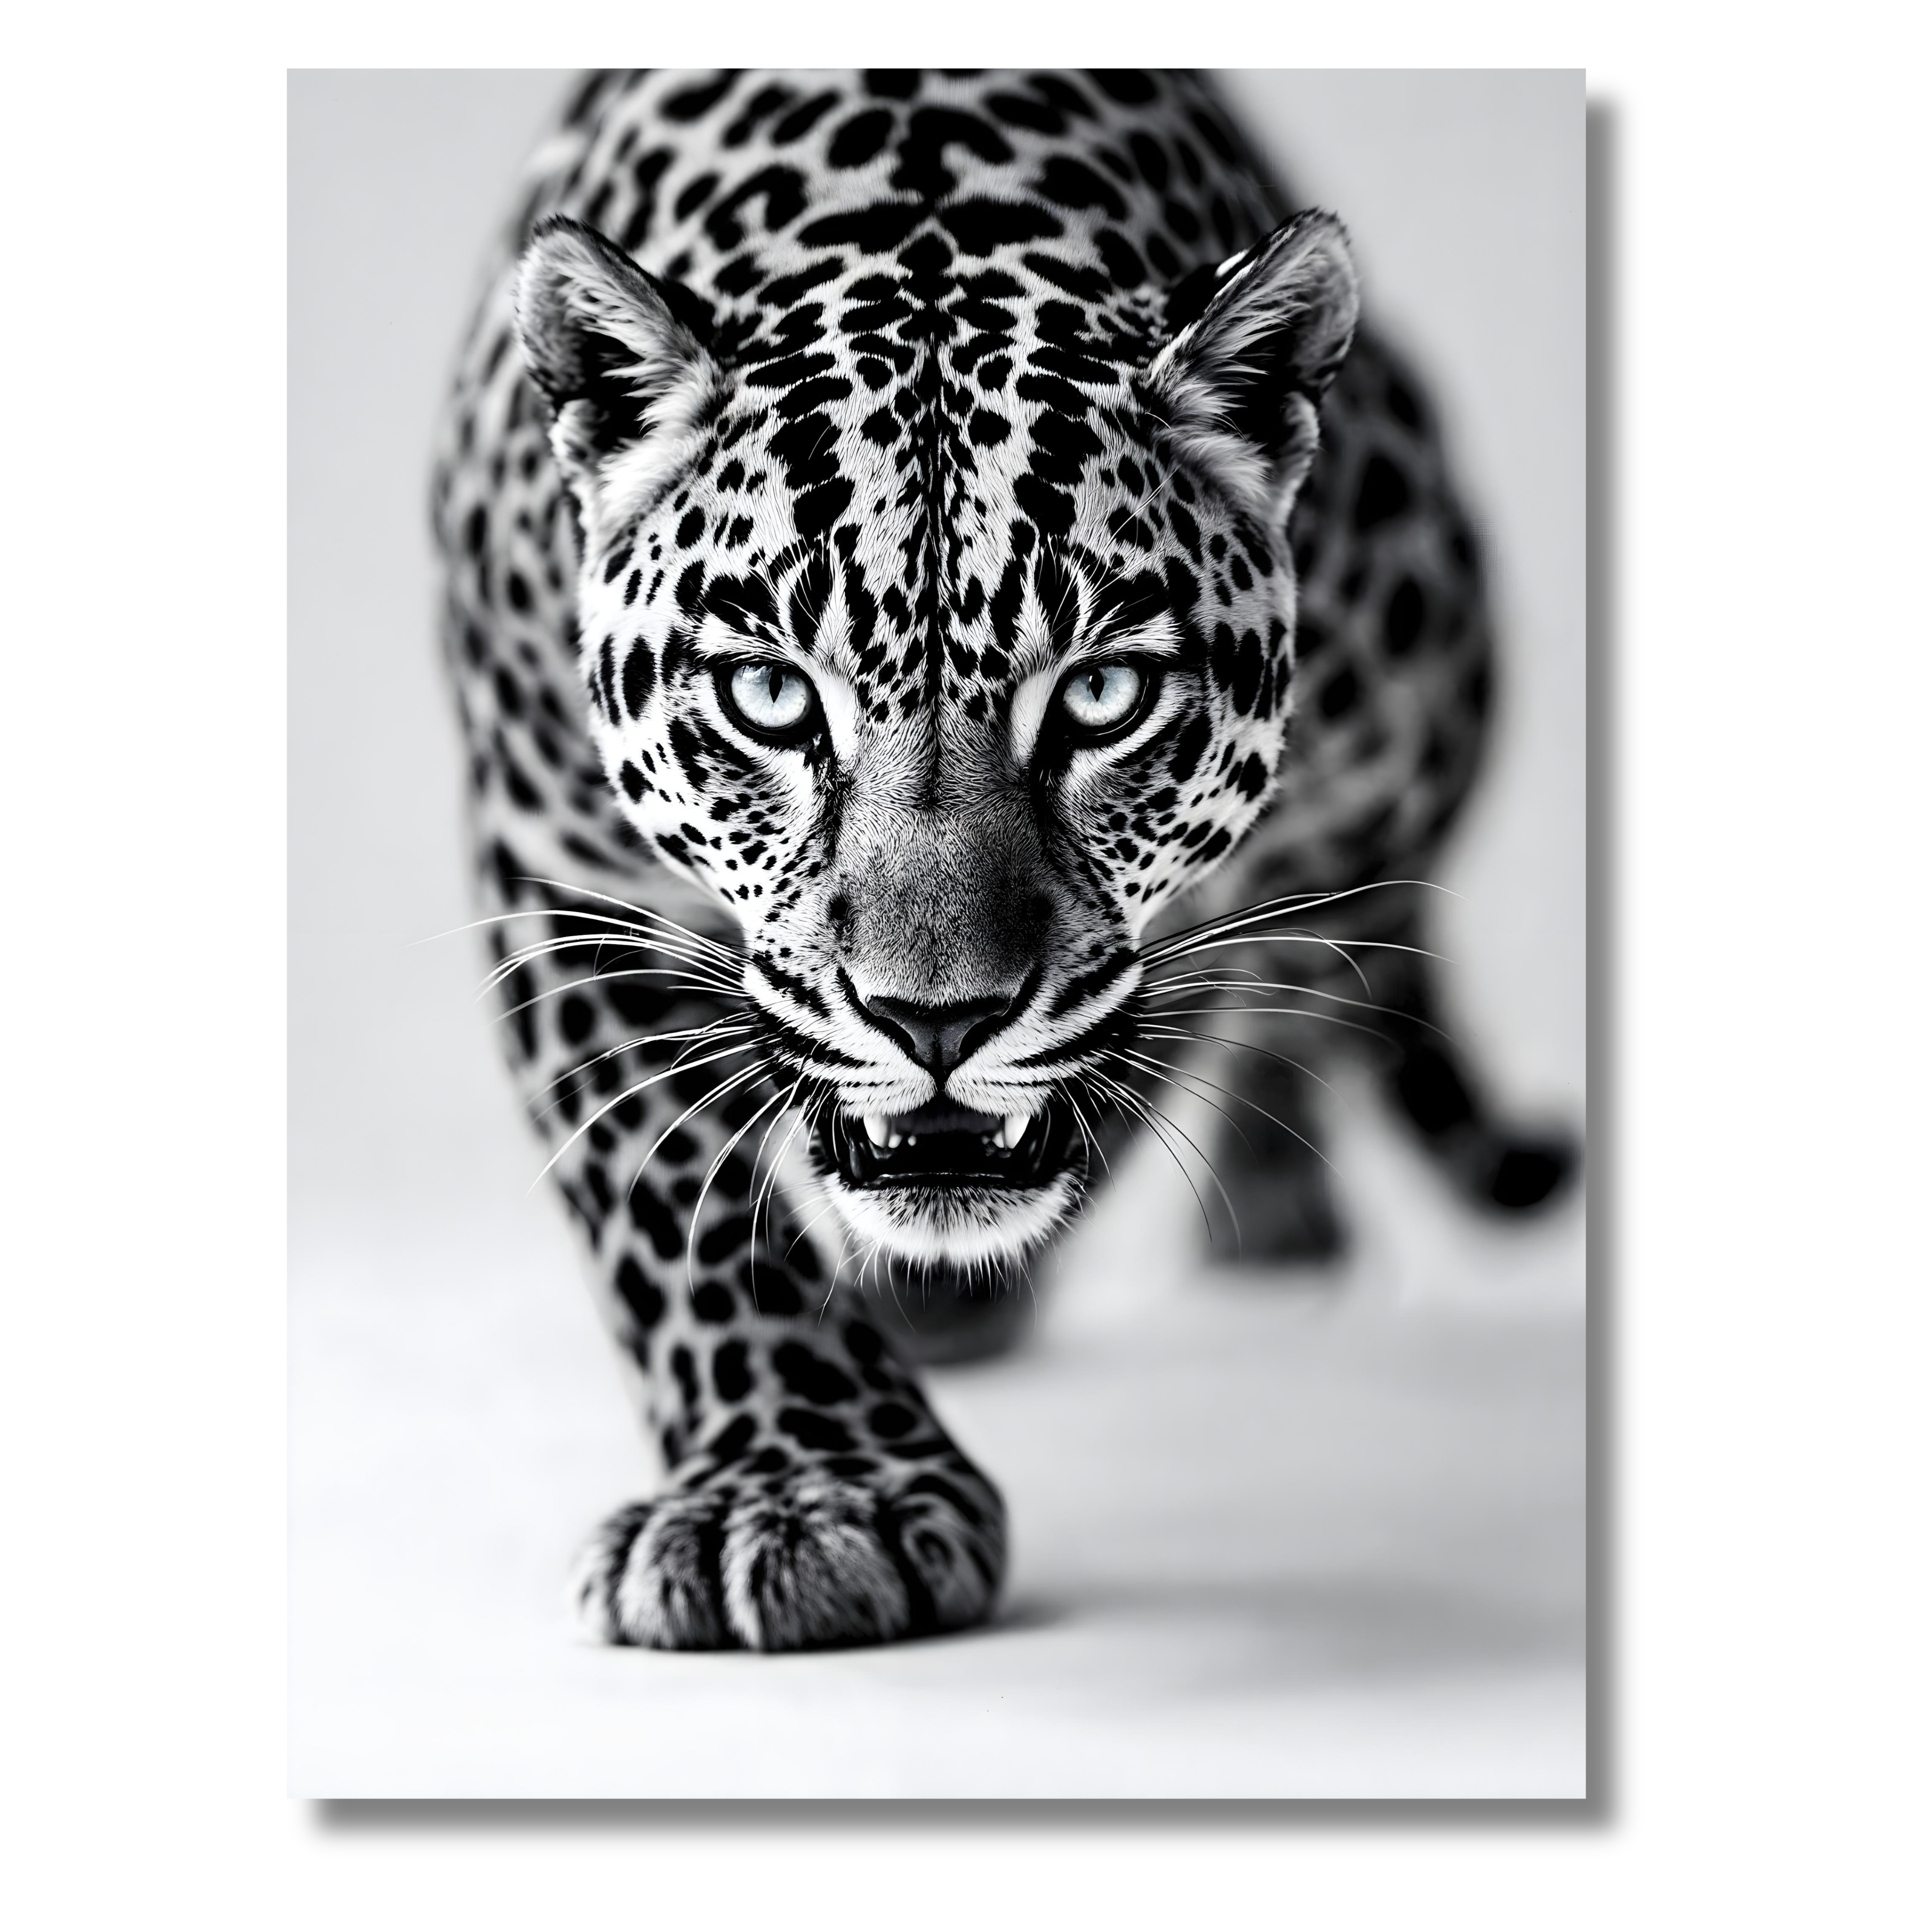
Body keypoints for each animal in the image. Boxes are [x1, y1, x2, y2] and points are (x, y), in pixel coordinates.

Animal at [429, 68, 1576, 1653]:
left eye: (1101, 696)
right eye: (768, 694)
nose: (938, 1022)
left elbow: (1217, 982)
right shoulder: (555, 856)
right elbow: (665, 1195)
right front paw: (806, 1489)